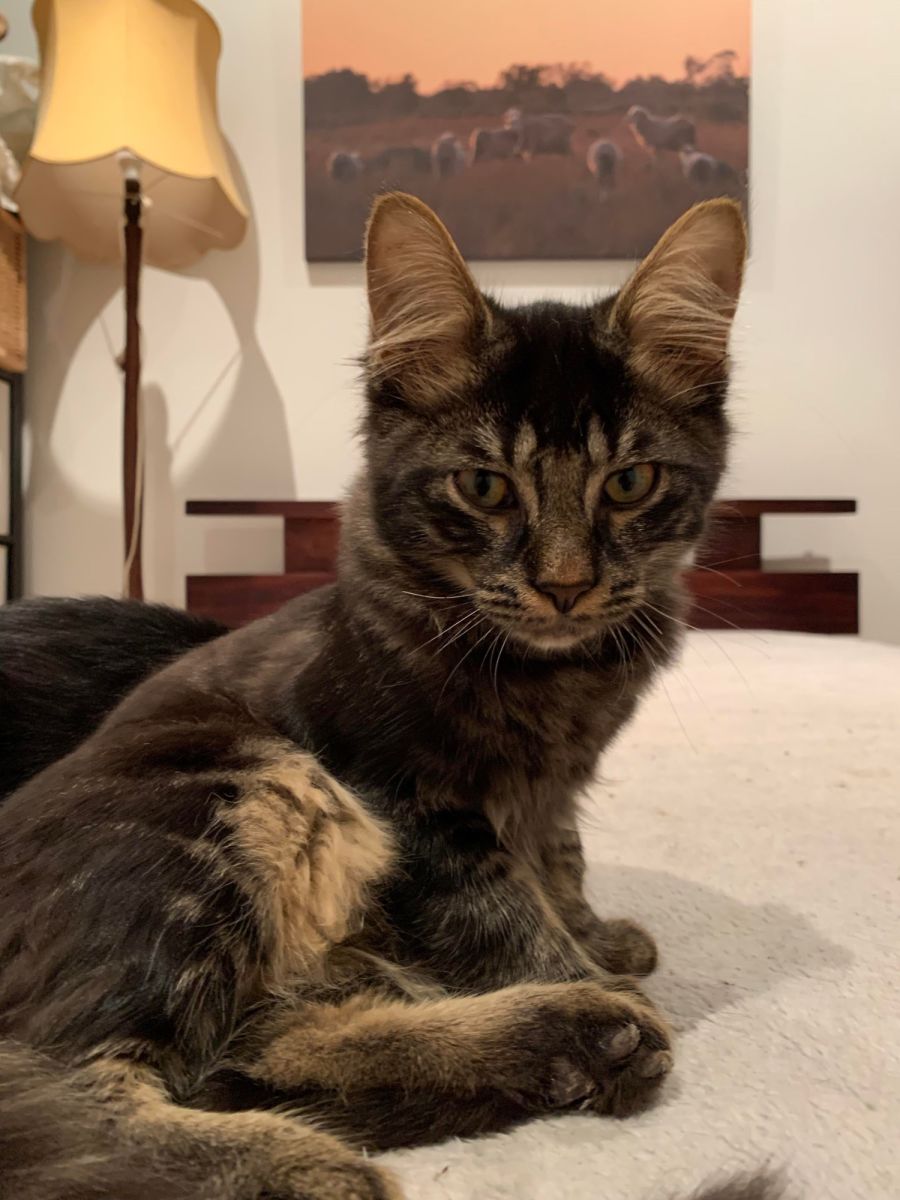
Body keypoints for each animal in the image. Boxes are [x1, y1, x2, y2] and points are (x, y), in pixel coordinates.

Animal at [0, 192, 748, 1200]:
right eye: (484, 487)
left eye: (630, 483)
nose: (565, 585)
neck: (551, 676)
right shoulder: (406, 799)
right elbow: (504, 910)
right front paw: (588, 970)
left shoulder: (552, 789)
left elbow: (560, 860)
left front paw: (599, 942)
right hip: (246, 793)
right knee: (81, 1093)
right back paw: (325, 1161)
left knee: (253, 1047)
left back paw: (567, 1044)